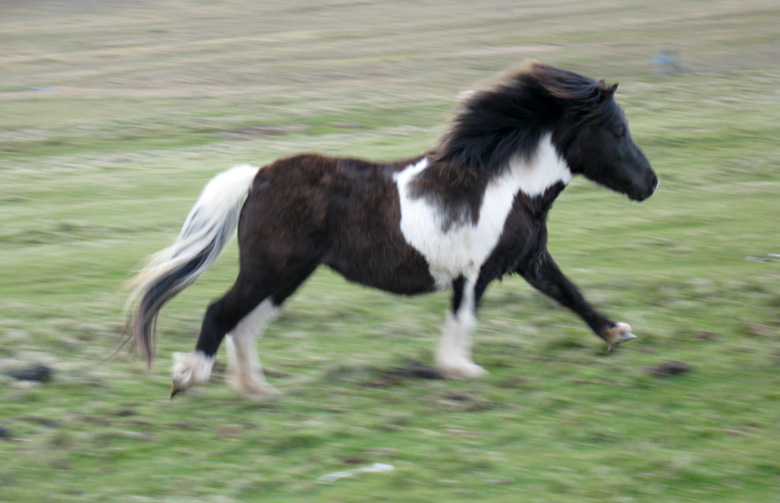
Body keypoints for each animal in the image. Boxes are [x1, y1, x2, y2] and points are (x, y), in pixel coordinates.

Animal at [128, 62, 660, 398]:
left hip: (286, 276)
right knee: (221, 312)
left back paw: (257, 389)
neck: (510, 188)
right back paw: (188, 378)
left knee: (246, 324)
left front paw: (617, 334)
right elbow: (464, 319)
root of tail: (258, 175)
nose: (650, 183)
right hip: (271, 269)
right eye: (617, 131)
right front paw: (461, 370)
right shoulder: (476, 273)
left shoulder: (530, 261)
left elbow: (572, 295)